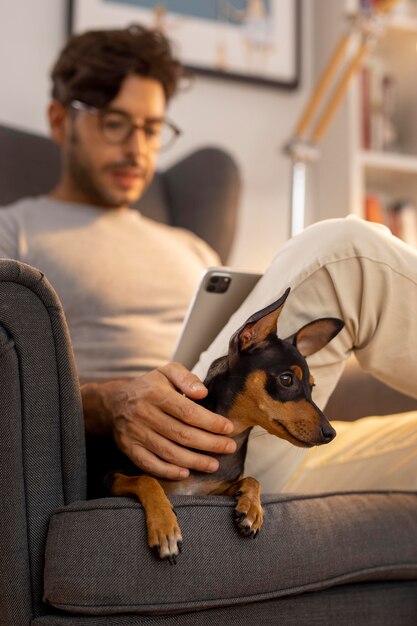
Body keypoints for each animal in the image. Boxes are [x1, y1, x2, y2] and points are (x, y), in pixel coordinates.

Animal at [89, 288, 342, 560]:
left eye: (312, 386)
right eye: (287, 380)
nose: (331, 433)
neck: (233, 434)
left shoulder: (213, 492)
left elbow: (253, 479)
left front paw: (251, 509)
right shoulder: (108, 480)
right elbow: (146, 480)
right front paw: (165, 527)